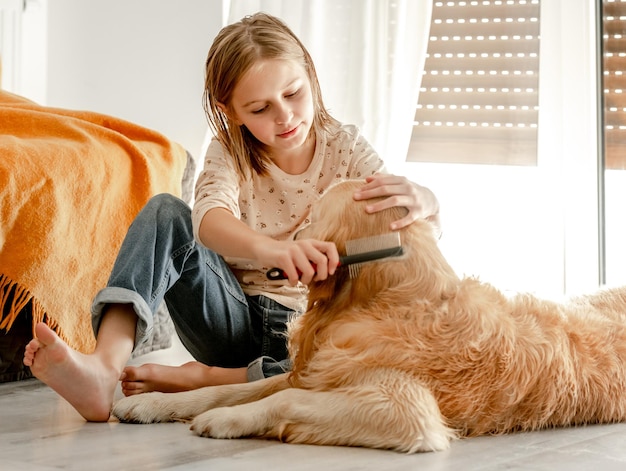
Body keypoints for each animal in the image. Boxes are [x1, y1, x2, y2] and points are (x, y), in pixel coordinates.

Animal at [111, 179, 624, 452]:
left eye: (313, 215)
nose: (288, 239)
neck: (390, 298)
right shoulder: (315, 371)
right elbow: (223, 390)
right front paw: (150, 405)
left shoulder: (405, 409)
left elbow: (281, 400)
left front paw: (225, 420)